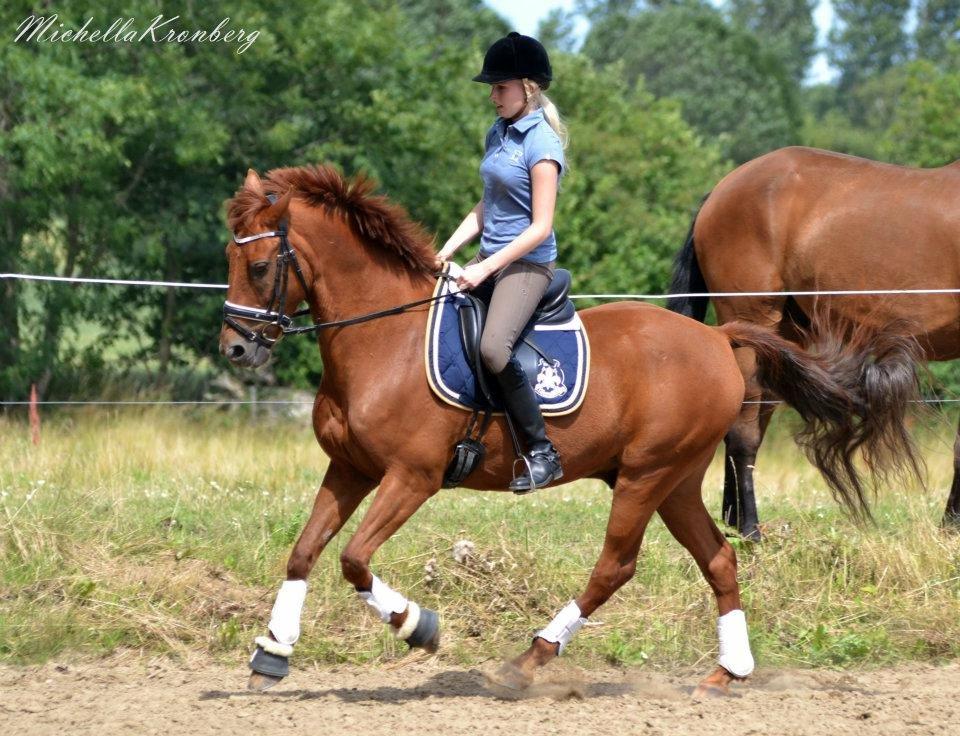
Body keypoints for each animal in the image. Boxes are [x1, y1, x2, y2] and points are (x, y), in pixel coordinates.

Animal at [219, 164, 922, 695]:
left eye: (261, 267)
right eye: (229, 256)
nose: (236, 350)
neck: (381, 339)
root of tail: (718, 339)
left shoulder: (411, 477)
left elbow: (354, 559)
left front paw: (421, 627)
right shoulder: (350, 468)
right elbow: (305, 551)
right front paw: (273, 653)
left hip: (645, 476)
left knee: (615, 566)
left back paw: (529, 660)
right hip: (676, 481)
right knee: (718, 559)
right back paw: (729, 671)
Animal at [667, 145, 960, 541]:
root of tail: (721, 190)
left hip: (777, 340)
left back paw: (732, 519)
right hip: (751, 324)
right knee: (744, 433)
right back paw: (750, 530)